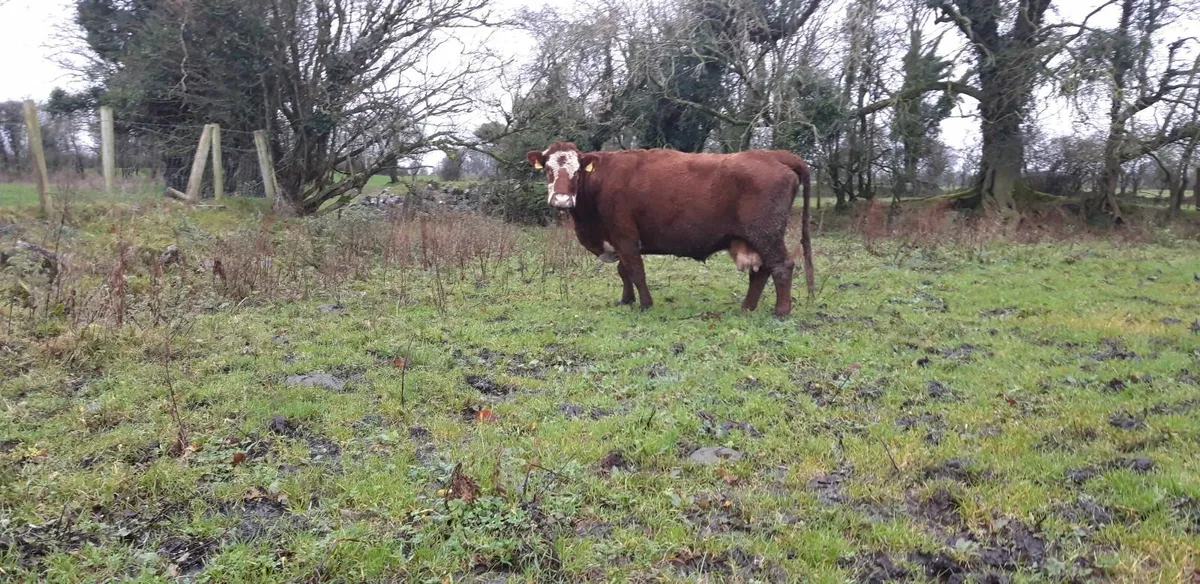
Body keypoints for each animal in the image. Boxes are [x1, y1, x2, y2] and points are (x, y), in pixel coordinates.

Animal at [526, 142, 814, 317]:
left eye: (576, 172)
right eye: (548, 170)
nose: (562, 200)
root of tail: (774, 154)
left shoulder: (625, 236)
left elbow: (635, 271)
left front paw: (645, 304)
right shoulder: (619, 241)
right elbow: (623, 271)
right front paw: (626, 300)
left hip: (766, 233)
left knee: (781, 266)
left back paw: (781, 311)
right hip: (754, 237)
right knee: (761, 271)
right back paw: (747, 307)